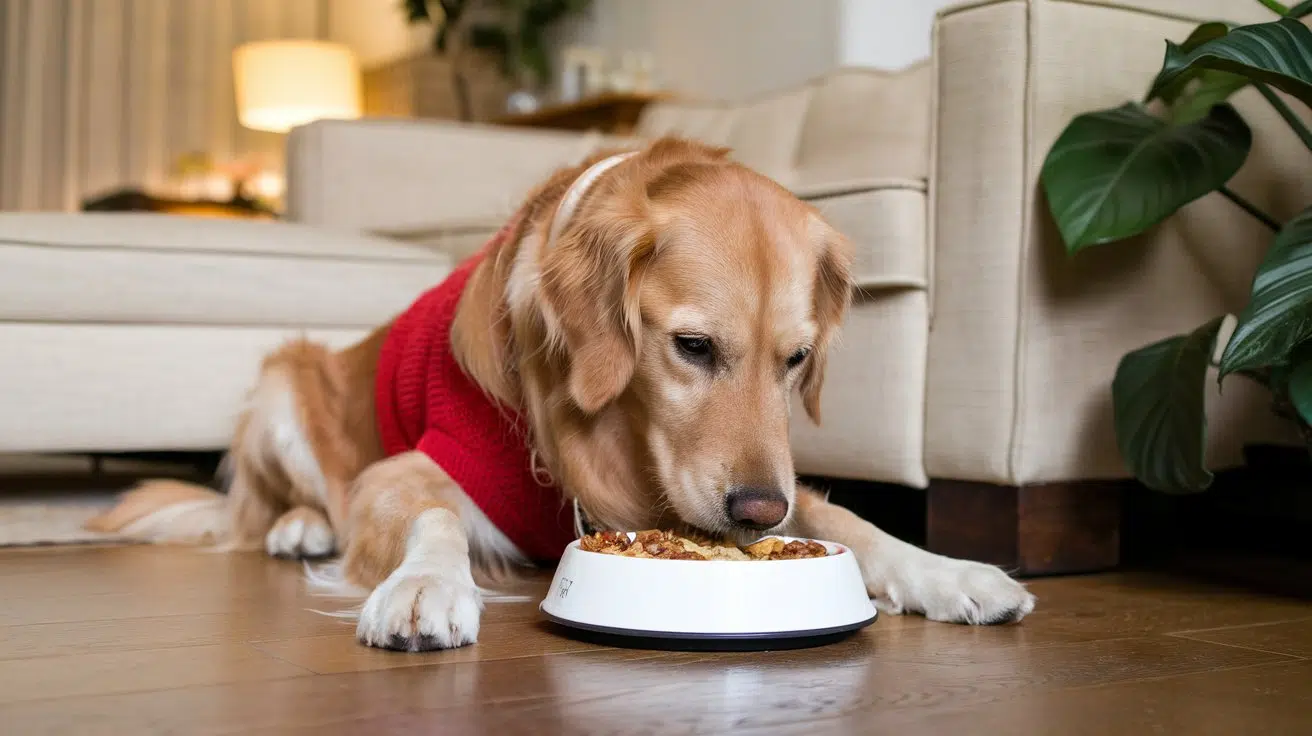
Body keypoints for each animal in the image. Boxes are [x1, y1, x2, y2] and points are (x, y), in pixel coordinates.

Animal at [89, 136, 1033, 648]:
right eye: (693, 347)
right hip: (283, 384)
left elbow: (851, 521)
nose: (758, 510)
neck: (607, 436)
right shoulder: (408, 467)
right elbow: (434, 517)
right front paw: (427, 587)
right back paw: (298, 528)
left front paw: (950, 571)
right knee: (278, 506)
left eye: (797, 360)